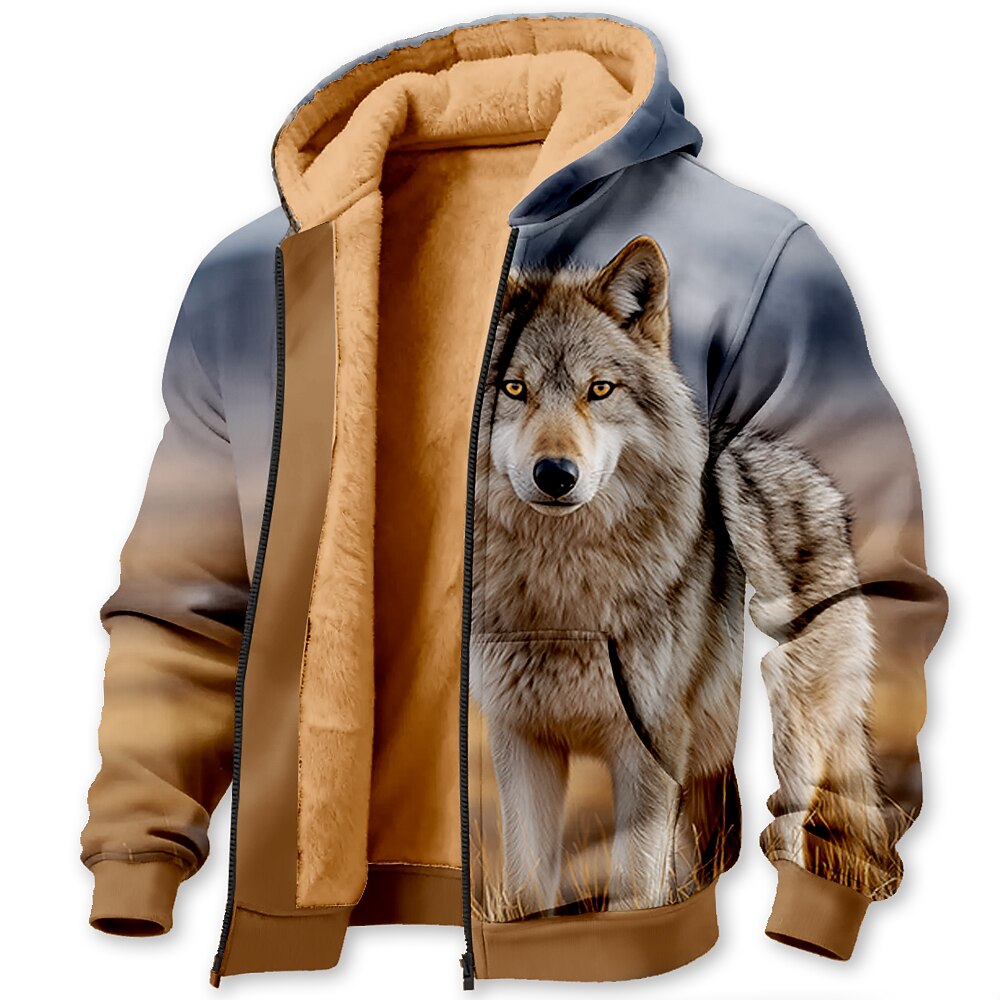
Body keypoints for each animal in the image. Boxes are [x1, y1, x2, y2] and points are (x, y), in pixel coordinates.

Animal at [468, 234, 891, 919]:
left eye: (600, 389)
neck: (564, 596)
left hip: (794, 738)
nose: (555, 474)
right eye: (512, 387)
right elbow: (529, 884)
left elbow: (635, 892)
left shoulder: (648, 748)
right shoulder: (522, 740)